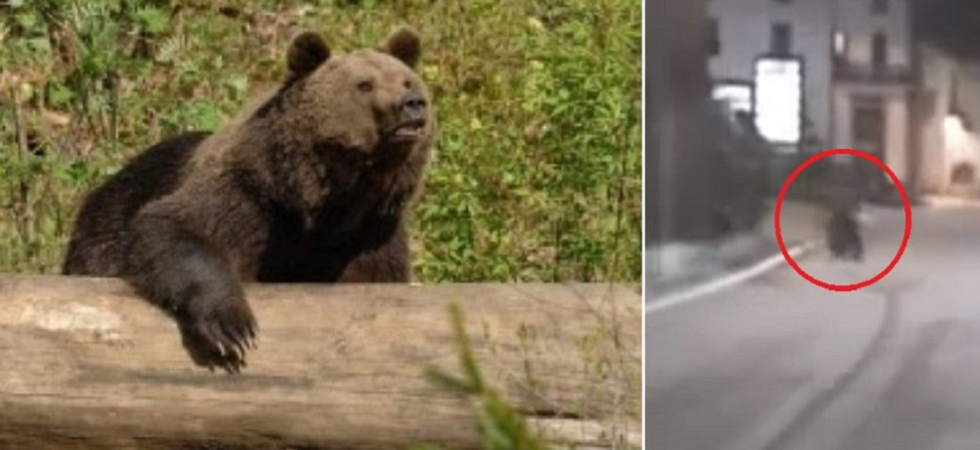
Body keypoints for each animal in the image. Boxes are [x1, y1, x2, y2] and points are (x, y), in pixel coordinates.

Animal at [63, 27, 434, 372]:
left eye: (406, 79)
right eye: (364, 85)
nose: (413, 103)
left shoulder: (371, 232)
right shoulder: (246, 199)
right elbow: (176, 227)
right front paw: (232, 328)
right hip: (103, 231)